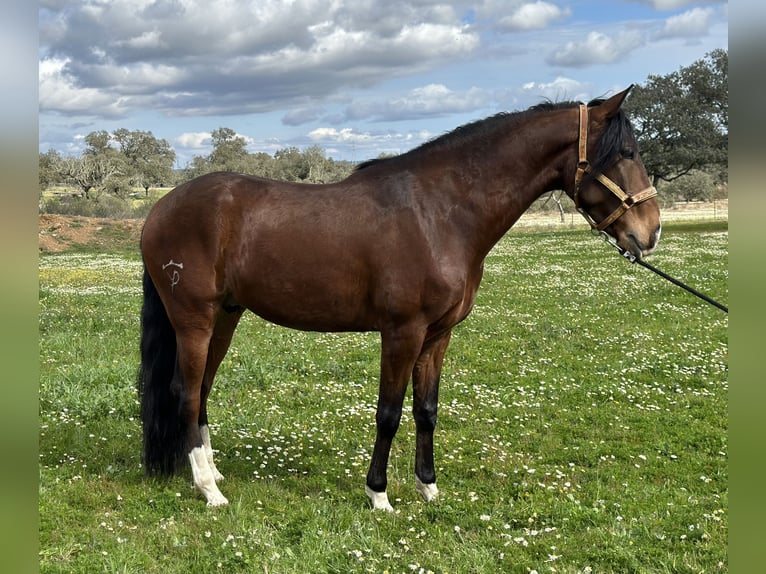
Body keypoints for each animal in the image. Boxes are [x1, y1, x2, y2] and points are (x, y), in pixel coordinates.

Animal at [138, 86, 660, 512]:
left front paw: (428, 487)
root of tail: (161, 208)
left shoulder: (438, 335)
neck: (439, 213)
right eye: (626, 152)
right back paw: (209, 490)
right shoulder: (402, 332)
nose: (650, 232)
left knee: (203, 390)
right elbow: (388, 413)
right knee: (185, 391)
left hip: (226, 317)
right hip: (194, 320)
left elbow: (426, 410)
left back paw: (211, 471)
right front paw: (379, 494)